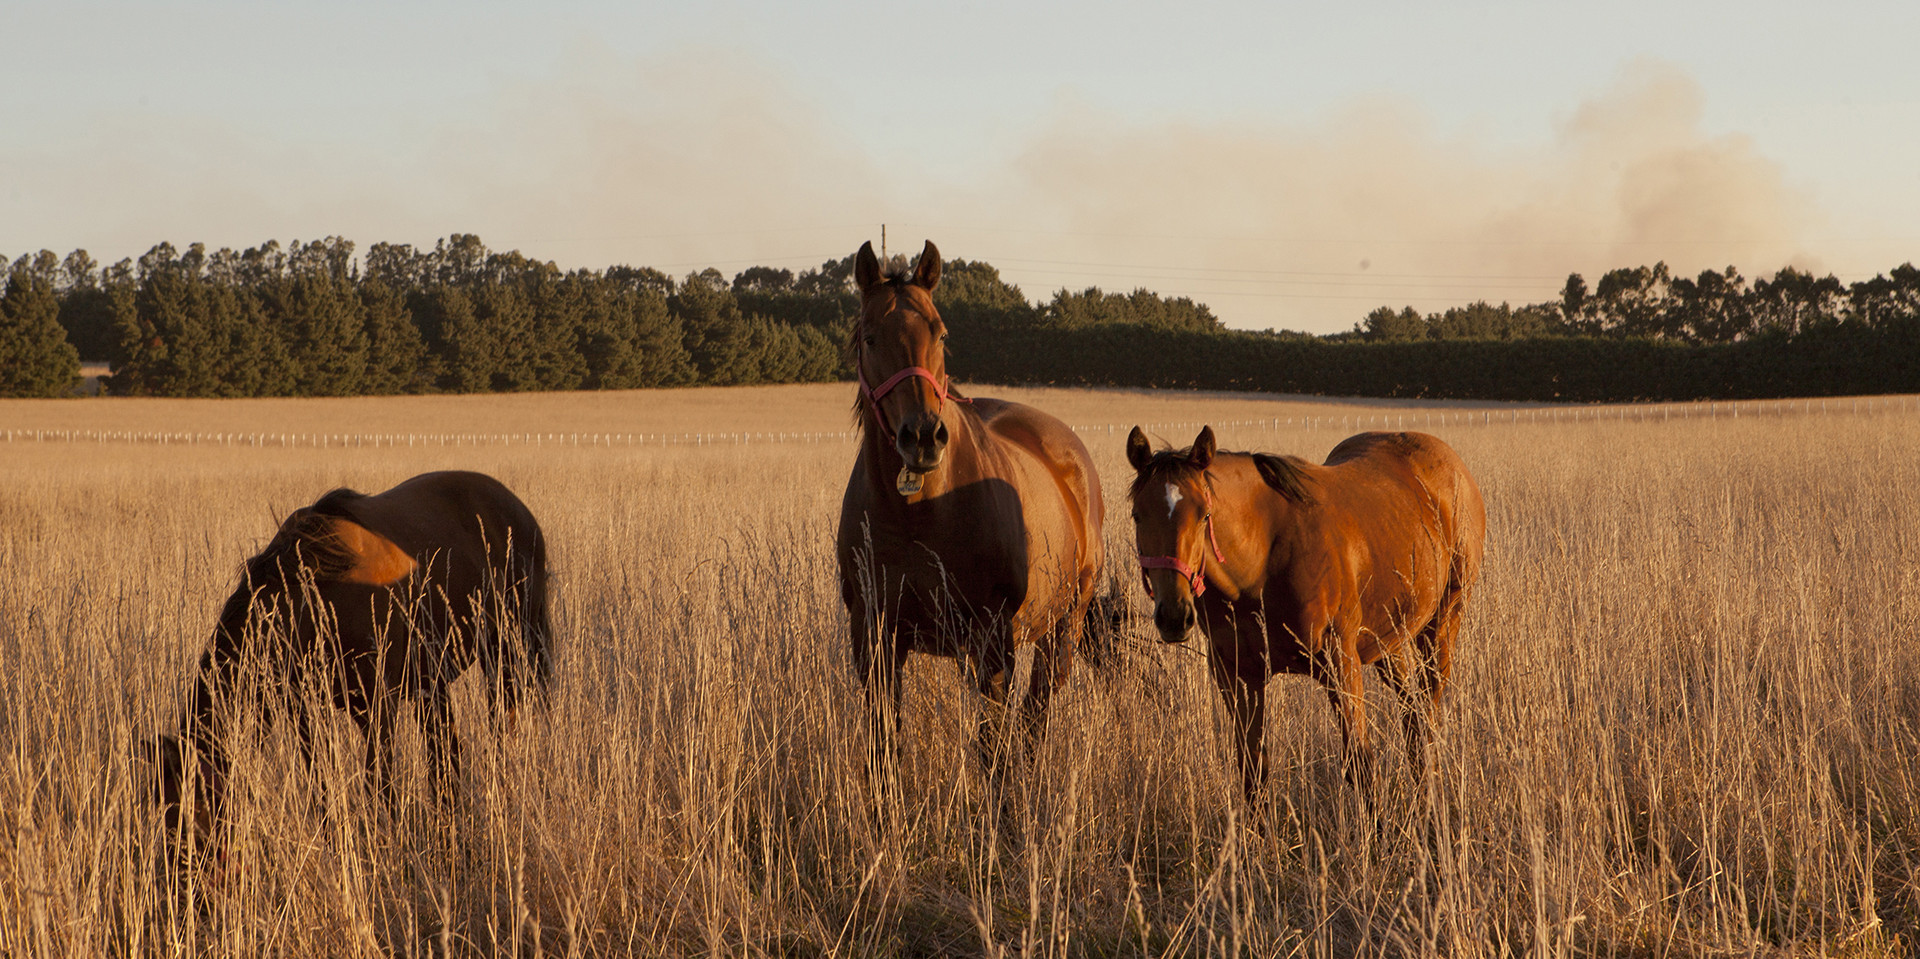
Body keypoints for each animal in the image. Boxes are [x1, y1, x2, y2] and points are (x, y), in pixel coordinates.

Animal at [149, 468, 549, 853]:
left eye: (197, 811)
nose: (176, 867)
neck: (315, 600)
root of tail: (519, 510)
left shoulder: (378, 708)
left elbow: (380, 786)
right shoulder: (307, 714)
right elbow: (323, 786)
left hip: (508, 652)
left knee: (507, 725)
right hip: (431, 681)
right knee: (445, 754)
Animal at [833, 240, 1105, 787]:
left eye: (940, 333)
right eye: (870, 338)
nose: (922, 437)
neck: (919, 513)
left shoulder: (994, 642)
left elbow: (992, 752)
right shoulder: (874, 637)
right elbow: (883, 749)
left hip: (1061, 628)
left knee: (1034, 718)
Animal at [1121, 424, 1482, 807]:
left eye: (1205, 514)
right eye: (1137, 515)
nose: (1174, 615)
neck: (1263, 562)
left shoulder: (1341, 664)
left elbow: (1360, 765)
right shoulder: (1238, 676)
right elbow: (1254, 772)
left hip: (1442, 625)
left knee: (1426, 718)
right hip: (1391, 642)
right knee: (1412, 718)